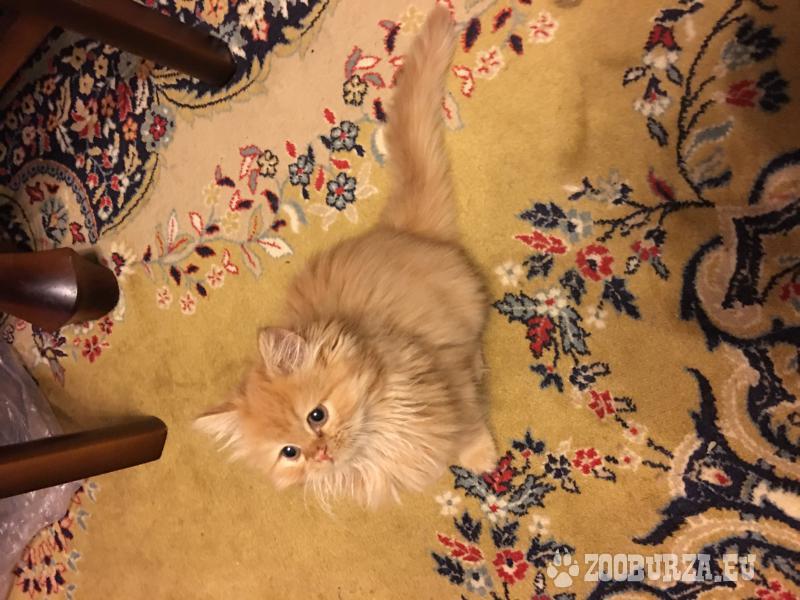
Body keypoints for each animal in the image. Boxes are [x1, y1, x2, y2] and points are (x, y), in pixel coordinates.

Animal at [195, 5, 497, 509]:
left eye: (317, 416)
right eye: (290, 452)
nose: (319, 454)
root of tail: (394, 229)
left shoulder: (447, 376)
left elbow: (469, 421)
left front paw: (481, 456)